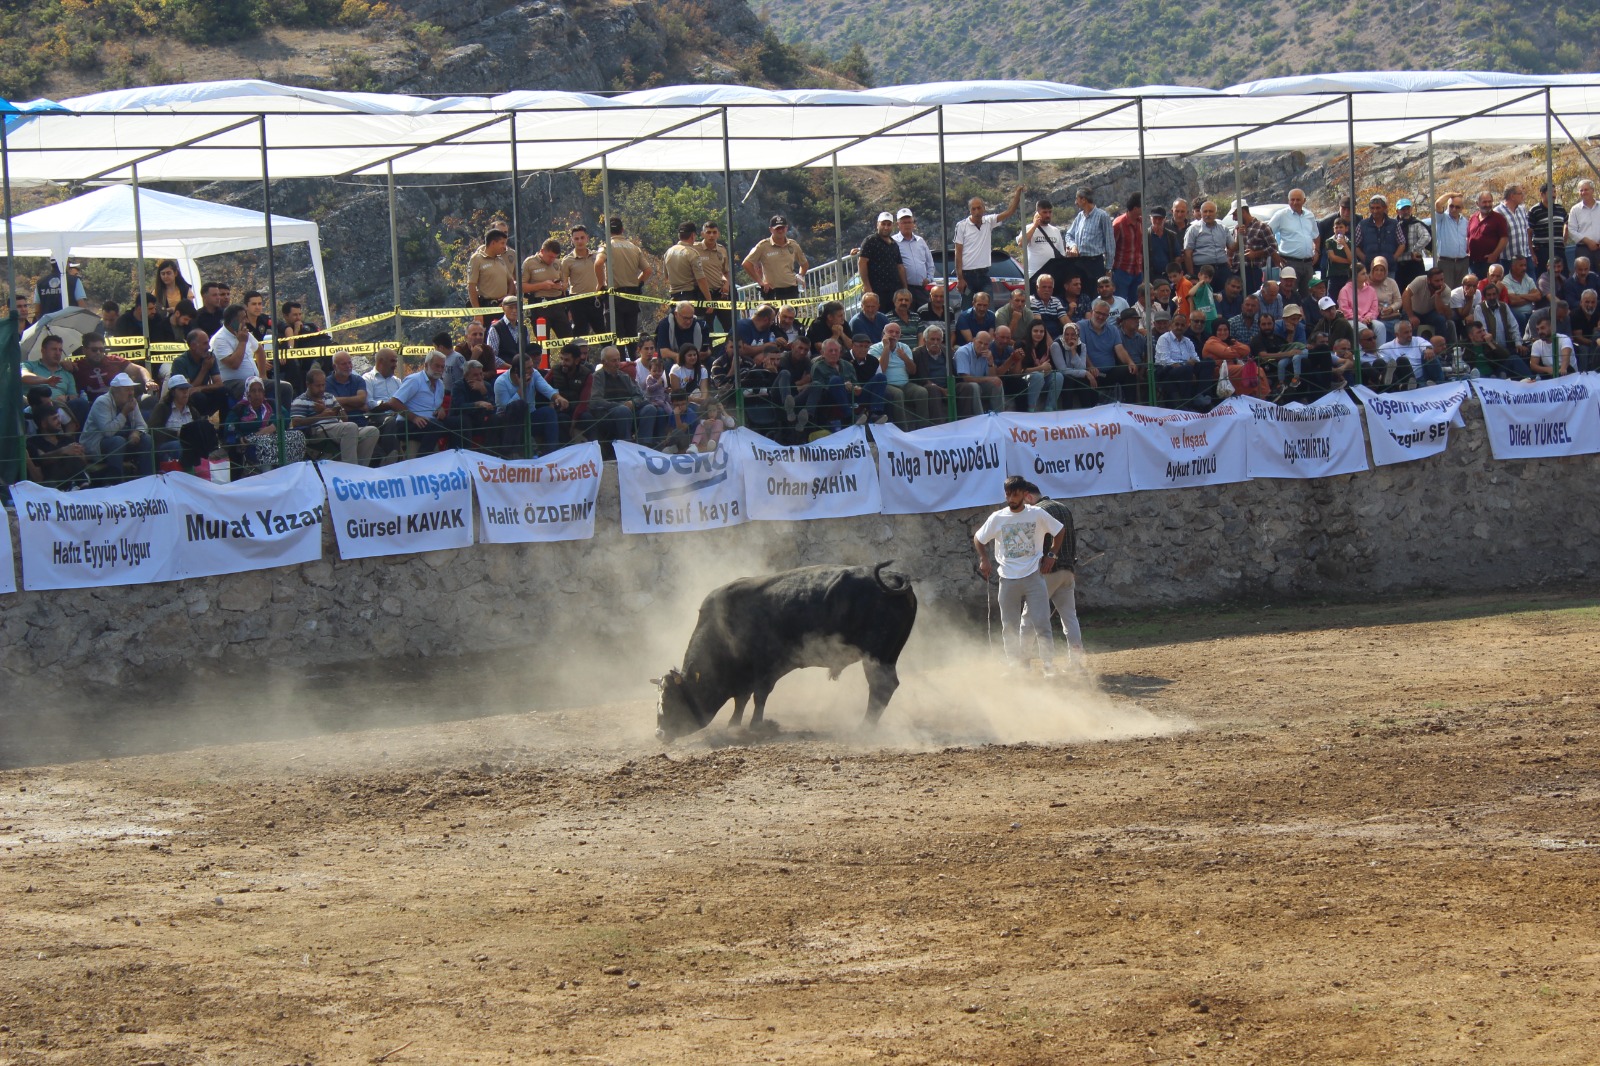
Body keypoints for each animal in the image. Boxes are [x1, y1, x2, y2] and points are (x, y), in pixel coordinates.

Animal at [649, 560, 921, 742]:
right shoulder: (744, 676)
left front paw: (756, 725)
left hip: (876, 656)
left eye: (672, 699)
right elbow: (741, 699)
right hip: (887, 656)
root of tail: (893, 577)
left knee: (881, 687)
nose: (659, 733)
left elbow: (758, 696)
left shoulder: (766, 670)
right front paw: (734, 725)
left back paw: (864, 728)